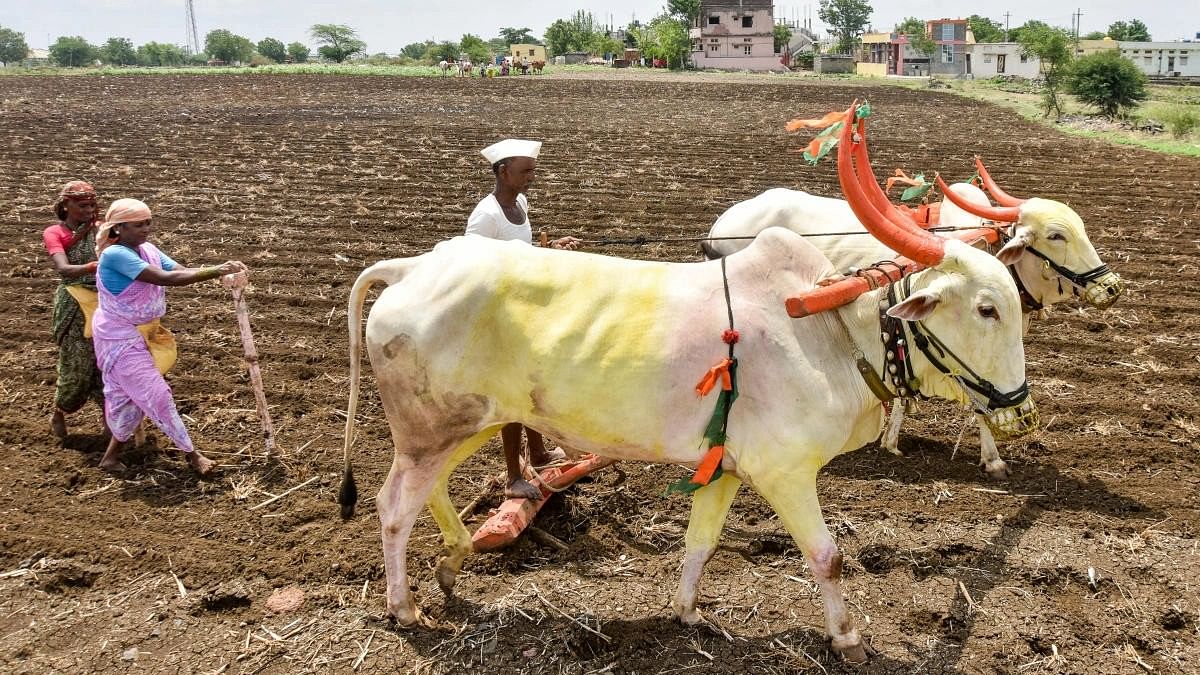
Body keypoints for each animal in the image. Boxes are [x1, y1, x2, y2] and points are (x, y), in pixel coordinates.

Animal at [340, 220, 1041, 658]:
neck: (830, 330)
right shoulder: (786, 473)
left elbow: (700, 544)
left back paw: (453, 562)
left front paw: (688, 612)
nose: (1019, 407)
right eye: (986, 308)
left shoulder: (726, 469)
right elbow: (828, 557)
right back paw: (403, 606)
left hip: (462, 425)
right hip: (434, 431)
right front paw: (846, 637)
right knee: (392, 507)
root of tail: (415, 266)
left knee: (426, 494)